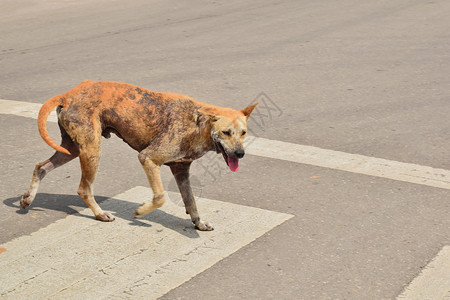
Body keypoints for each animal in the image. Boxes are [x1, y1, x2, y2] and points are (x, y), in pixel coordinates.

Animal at [21, 79, 258, 230]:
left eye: (244, 132)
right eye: (226, 132)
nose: (240, 153)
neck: (198, 124)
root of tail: (68, 94)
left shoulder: (181, 170)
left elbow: (191, 201)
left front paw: (198, 223)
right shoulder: (148, 158)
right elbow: (160, 197)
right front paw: (141, 212)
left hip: (72, 149)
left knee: (41, 166)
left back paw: (28, 198)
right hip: (91, 151)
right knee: (83, 189)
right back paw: (100, 214)